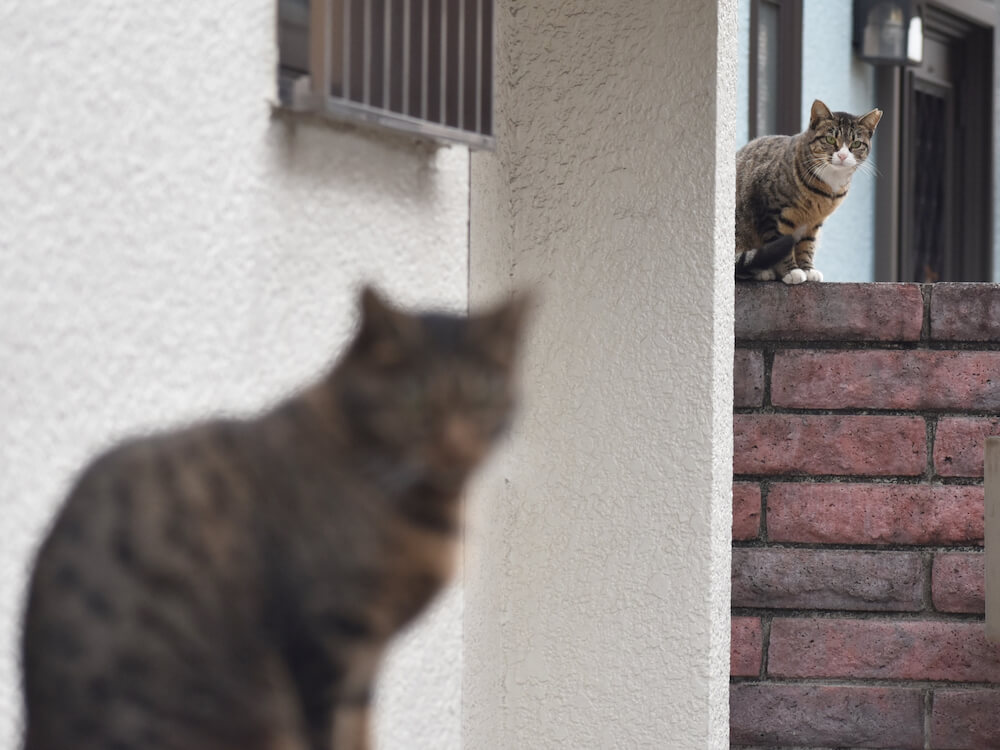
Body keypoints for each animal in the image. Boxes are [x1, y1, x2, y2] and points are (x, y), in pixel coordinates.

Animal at [19, 286, 532, 750]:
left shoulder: (363, 661)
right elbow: (330, 734)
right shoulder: (326, 643)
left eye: (485, 392)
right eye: (413, 395)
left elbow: (358, 734)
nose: (457, 444)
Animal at [736, 100, 884, 284]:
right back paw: (762, 272)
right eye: (830, 139)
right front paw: (791, 271)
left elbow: (807, 245)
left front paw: (807, 269)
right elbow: (779, 244)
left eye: (856, 144)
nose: (842, 155)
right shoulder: (770, 211)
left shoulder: (814, 222)